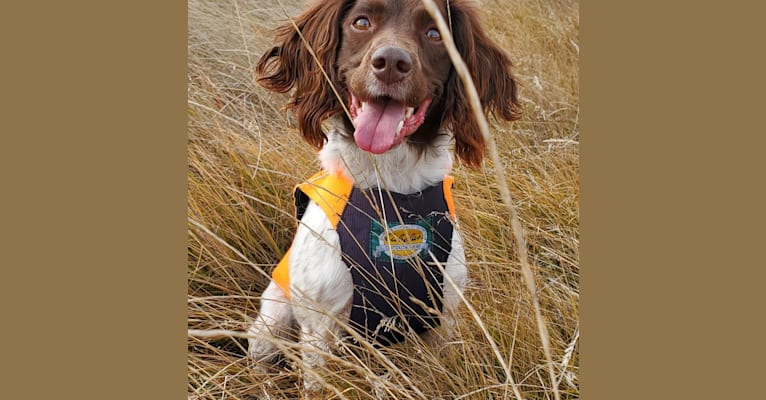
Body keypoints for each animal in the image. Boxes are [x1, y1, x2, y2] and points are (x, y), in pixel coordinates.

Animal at [246, 0, 520, 390]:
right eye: (361, 23)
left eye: (434, 33)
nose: (391, 62)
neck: (392, 189)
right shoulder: (320, 324)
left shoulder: (443, 316)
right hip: (272, 321)